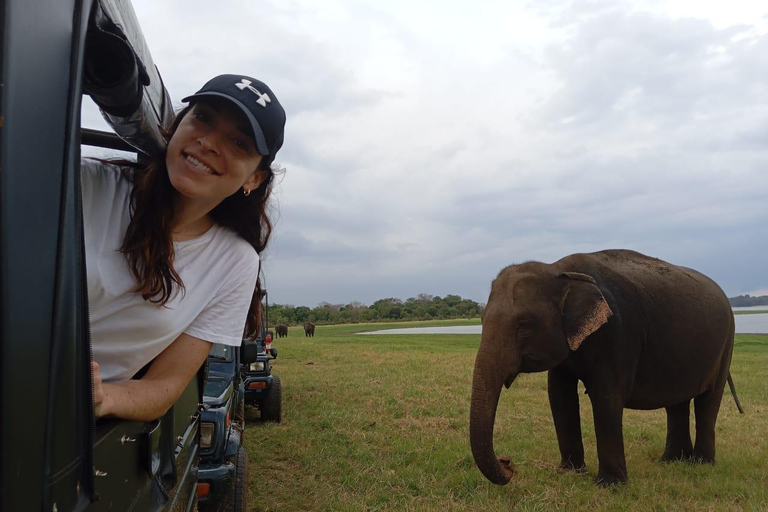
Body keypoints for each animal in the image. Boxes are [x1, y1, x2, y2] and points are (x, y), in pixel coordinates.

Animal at [472, 250, 740, 486]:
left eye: (525, 324)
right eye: (482, 320)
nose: (508, 463)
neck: (559, 270)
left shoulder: (617, 333)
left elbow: (606, 397)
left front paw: (610, 485)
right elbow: (559, 396)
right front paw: (570, 473)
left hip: (727, 341)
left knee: (708, 401)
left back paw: (701, 464)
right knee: (677, 403)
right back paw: (671, 461)